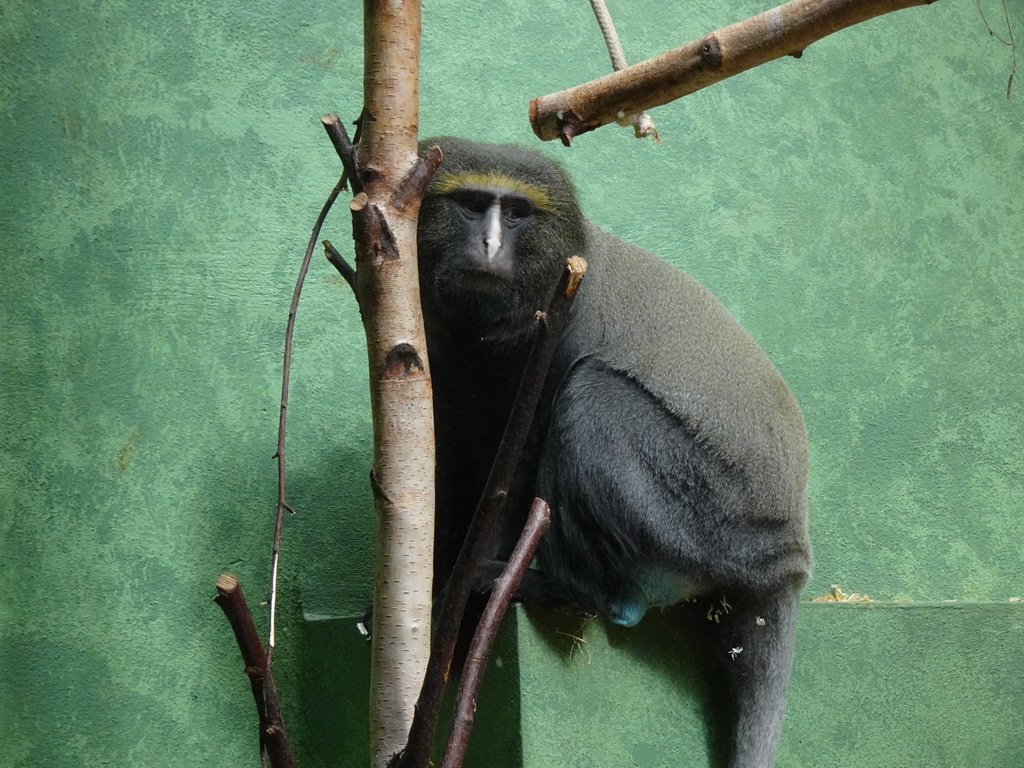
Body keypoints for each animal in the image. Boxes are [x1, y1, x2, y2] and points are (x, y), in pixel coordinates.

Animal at [413, 138, 806, 768]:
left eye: (516, 213)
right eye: (473, 206)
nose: (490, 245)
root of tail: (787, 558)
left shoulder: (553, 340)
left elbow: (517, 468)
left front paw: (465, 598)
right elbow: (456, 465)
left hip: (707, 514)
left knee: (594, 395)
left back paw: (565, 588)